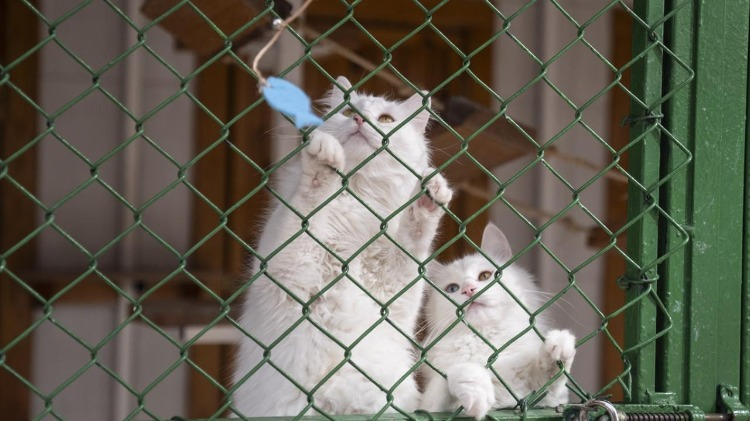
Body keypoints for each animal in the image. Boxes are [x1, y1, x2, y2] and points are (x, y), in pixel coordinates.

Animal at [231, 76, 453, 417]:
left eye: (386, 119)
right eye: (349, 111)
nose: (360, 120)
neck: (359, 201)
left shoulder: (395, 288)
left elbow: (414, 237)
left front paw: (430, 195)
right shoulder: (291, 261)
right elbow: (312, 196)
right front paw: (325, 158)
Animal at [419, 223, 576, 420]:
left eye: (485, 276)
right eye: (452, 288)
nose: (468, 289)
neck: (486, 339)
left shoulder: (545, 401)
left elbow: (550, 377)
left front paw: (558, 344)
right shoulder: (431, 408)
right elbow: (456, 372)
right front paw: (477, 392)